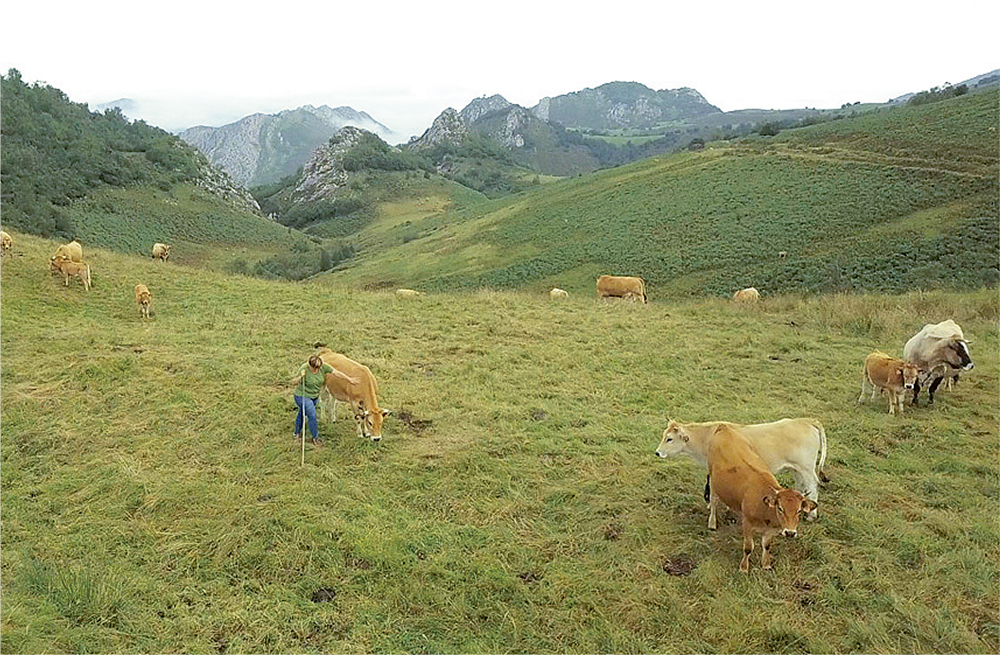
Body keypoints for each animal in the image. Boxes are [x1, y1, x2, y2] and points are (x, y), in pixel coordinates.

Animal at [652, 420, 824, 528]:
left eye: (669, 439)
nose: (657, 453)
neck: (708, 436)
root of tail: (807, 420)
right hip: (797, 470)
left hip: (806, 469)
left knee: (813, 487)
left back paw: (812, 515)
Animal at [708, 426, 816, 576]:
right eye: (780, 508)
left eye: (799, 511)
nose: (790, 533)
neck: (765, 510)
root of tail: (724, 427)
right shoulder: (747, 523)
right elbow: (748, 548)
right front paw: (743, 568)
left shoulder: (770, 530)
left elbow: (767, 546)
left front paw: (766, 565)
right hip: (712, 480)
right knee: (713, 502)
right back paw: (712, 523)